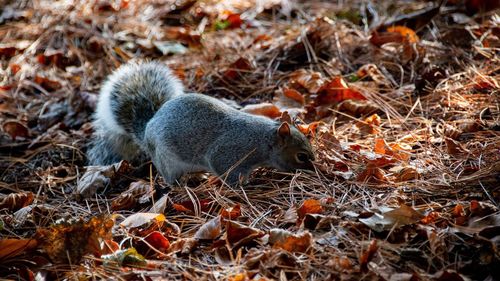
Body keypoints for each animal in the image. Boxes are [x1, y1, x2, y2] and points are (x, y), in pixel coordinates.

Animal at [86, 61, 312, 184]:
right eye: (301, 156)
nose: (314, 171)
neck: (262, 139)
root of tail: (148, 127)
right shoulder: (229, 152)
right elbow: (225, 169)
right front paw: (242, 186)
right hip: (167, 160)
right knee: (169, 177)